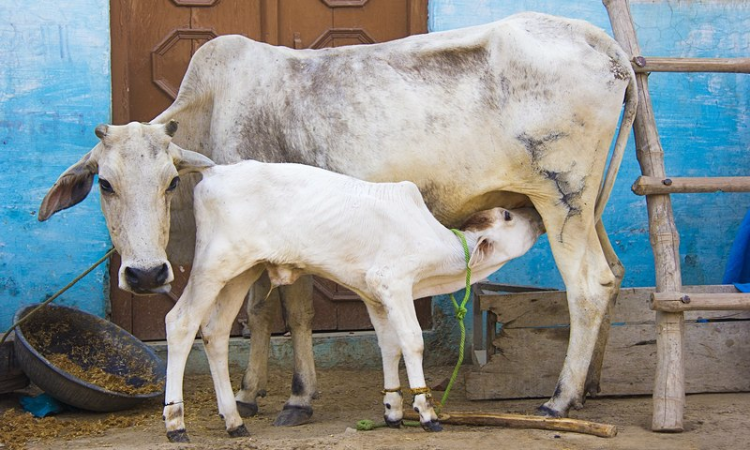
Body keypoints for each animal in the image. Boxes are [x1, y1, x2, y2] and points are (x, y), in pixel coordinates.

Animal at [38, 11, 637, 437]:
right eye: (104, 183)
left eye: (168, 181)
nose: (145, 275)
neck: (211, 113)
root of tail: (602, 44)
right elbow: (257, 314)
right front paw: (251, 394)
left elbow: (290, 311)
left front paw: (296, 396)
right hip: (585, 207)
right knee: (613, 275)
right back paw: (591, 386)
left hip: (563, 199)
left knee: (586, 287)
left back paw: (559, 398)